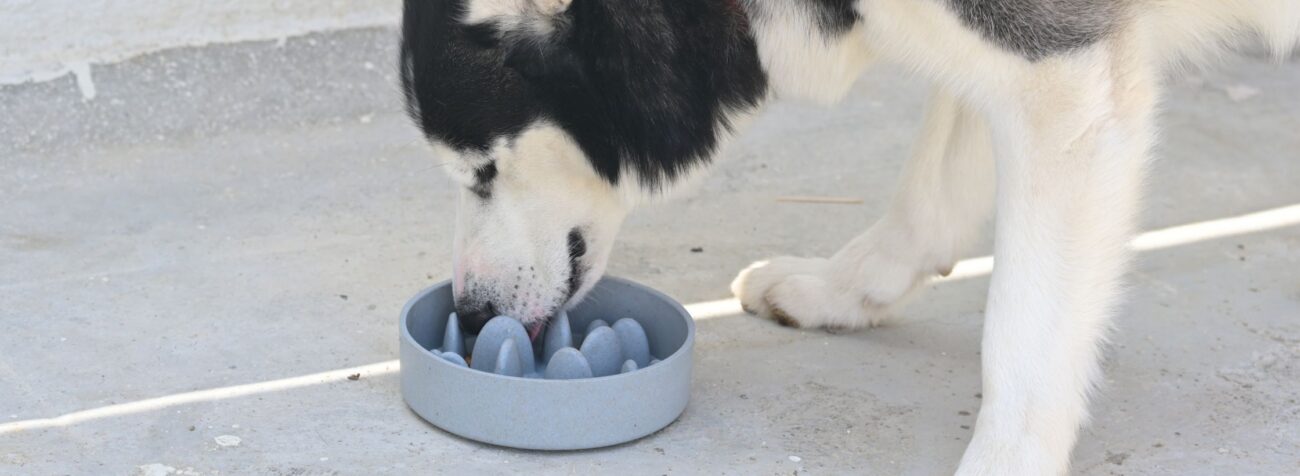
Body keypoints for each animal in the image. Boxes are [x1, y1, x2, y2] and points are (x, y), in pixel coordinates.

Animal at [397, 0, 1300, 473]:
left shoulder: (1065, 83)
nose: (472, 318)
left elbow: (1024, 335)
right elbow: (933, 178)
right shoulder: (1009, 66)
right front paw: (844, 289)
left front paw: (1005, 455)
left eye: (482, 172)